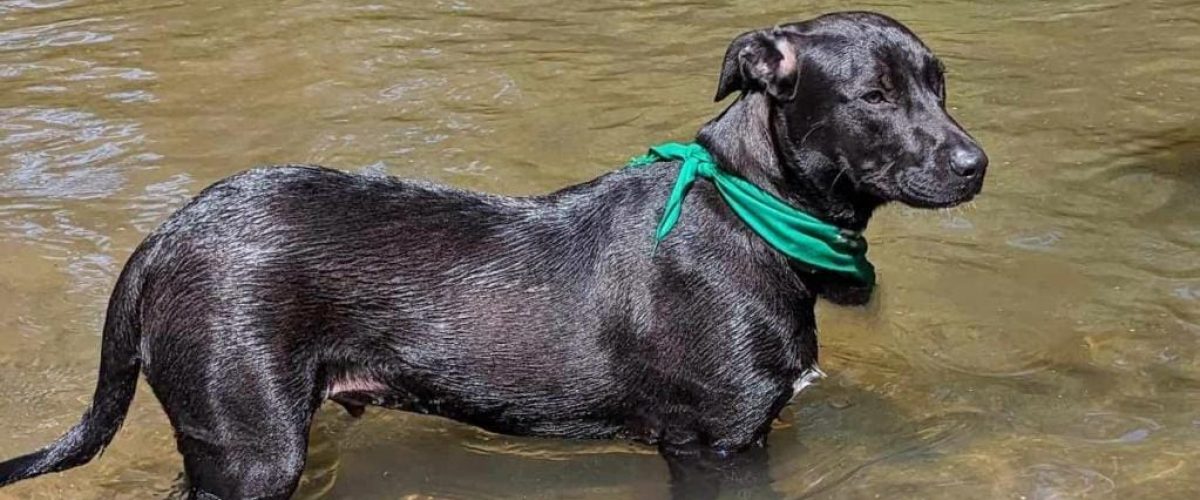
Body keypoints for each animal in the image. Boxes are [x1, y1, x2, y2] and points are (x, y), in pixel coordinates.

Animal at [0, 11, 984, 498]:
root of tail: (163, 238)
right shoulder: (715, 445)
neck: (754, 210)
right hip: (249, 454)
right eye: (873, 95)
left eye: (939, 83)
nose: (976, 164)